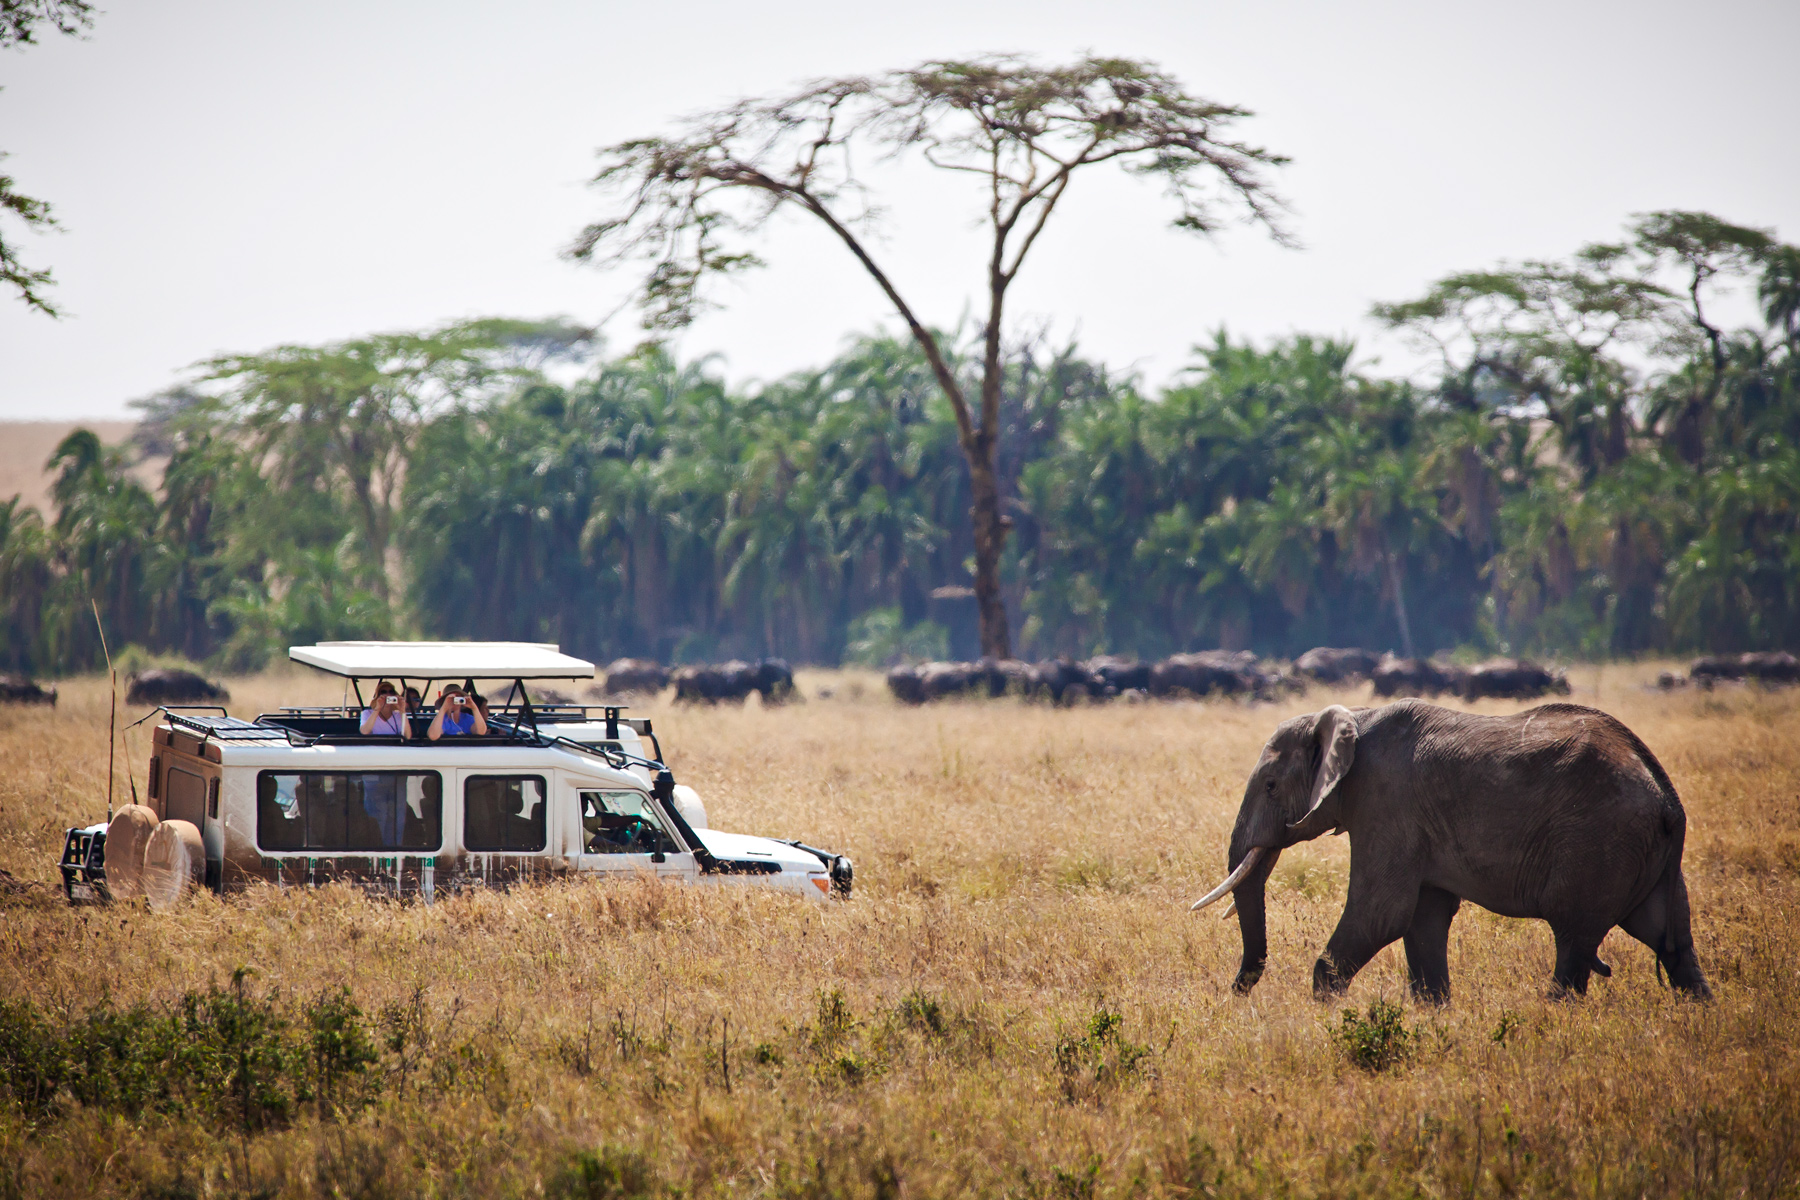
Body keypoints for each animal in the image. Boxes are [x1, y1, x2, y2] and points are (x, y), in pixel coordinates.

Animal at [1191, 700, 1711, 1003]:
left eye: (1271, 786)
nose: (1234, 995)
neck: (1353, 718)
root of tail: (1668, 797)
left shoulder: (1386, 802)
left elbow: (1383, 912)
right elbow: (1423, 918)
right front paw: (1433, 1011)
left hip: (1599, 845)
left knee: (1574, 942)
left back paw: (1551, 1020)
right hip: (1644, 855)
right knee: (1671, 942)